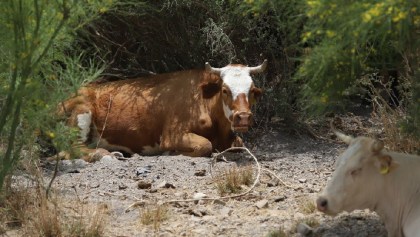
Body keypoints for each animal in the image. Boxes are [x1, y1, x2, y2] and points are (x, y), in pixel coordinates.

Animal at [60, 60, 266, 162]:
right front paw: (171, 153)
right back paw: (104, 155)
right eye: (225, 90)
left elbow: (239, 143)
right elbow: (205, 145)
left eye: (251, 90)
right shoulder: (172, 134)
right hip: (82, 111)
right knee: (69, 149)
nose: (243, 117)